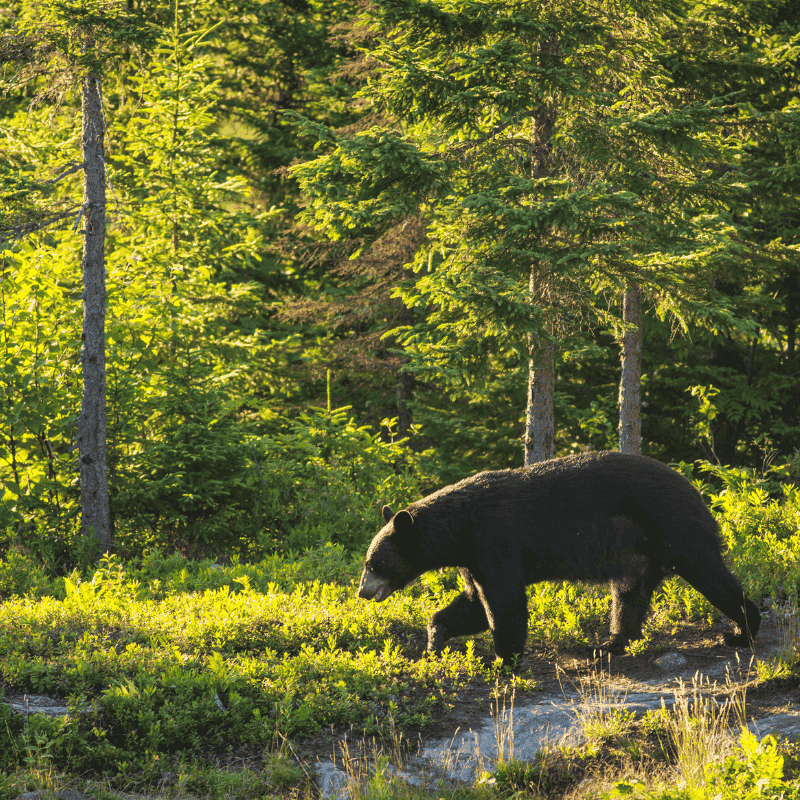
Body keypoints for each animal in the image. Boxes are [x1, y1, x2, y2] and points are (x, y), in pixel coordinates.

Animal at [357, 451, 760, 664]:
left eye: (373, 564)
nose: (362, 591)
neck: (459, 527)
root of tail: (697, 490)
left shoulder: (494, 540)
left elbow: (503, 601)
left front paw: (506, 657)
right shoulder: (472, 557)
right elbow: (473, 602)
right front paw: (435, 638)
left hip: (673, 526)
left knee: (709, 573)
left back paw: (743, 630)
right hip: (638, 554)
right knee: (628, 595)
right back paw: (610, 643)